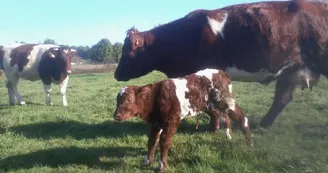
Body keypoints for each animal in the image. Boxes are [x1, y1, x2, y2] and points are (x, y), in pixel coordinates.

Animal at [113, 68, 251, 170]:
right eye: (117, 100)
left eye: (129, 99)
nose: (116, 116)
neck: (156, 97)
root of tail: (221, 72)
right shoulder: (156, 123)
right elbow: (151, 141)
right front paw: (148, 161)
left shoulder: (171, 120)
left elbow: (164, 142)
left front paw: (162, 165)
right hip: (211, 104)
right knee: (224, 117)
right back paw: (229, 137)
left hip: (226, 100)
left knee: (241, 118)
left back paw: (250, 143)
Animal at [114, 0, 328, 127]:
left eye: (127, 52)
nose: (116, 74)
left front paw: (214, 125)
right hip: (290, 70)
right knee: (282, 99)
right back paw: (262, 125)